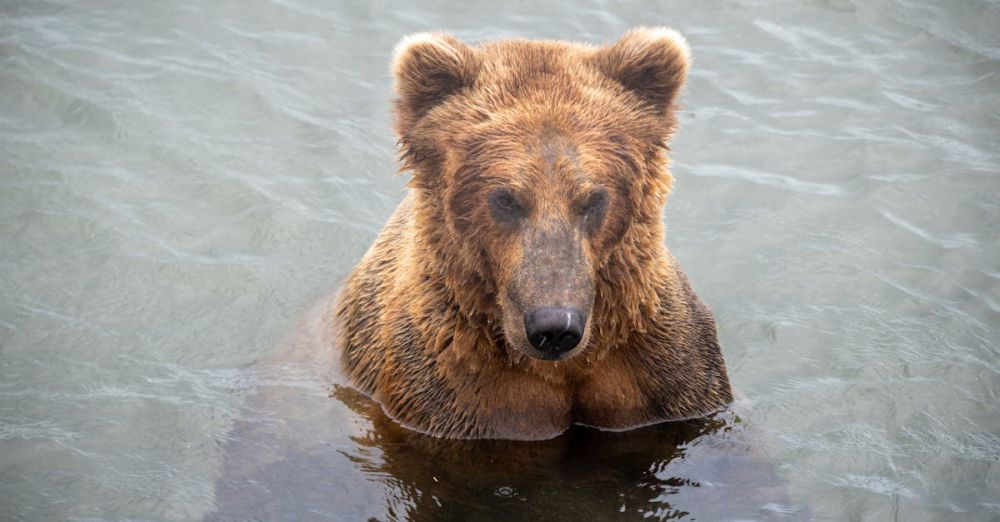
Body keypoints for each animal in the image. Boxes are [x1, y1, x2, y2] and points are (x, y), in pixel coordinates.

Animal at [336, 26, 736, 436]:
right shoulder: (452, 390)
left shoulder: (664, 371)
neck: (568, 368)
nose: (555, 326)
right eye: (506, 199)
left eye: (594, 198)